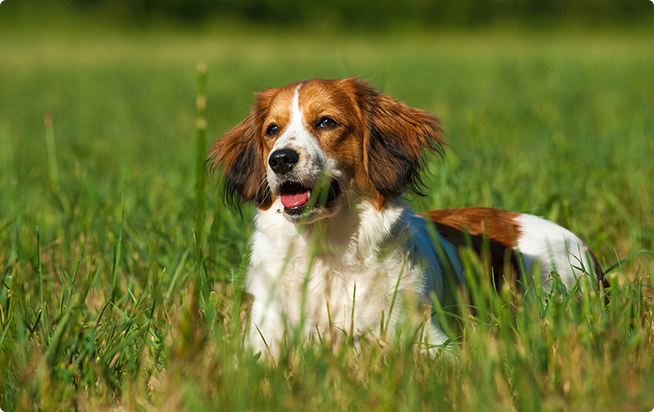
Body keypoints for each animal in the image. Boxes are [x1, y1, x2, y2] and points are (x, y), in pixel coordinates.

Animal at [208, 77, 608, 360]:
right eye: (272, 130)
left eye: (326, 122)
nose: (280, 159)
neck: (328, 252)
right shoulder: (261, 341)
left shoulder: (429, 340)